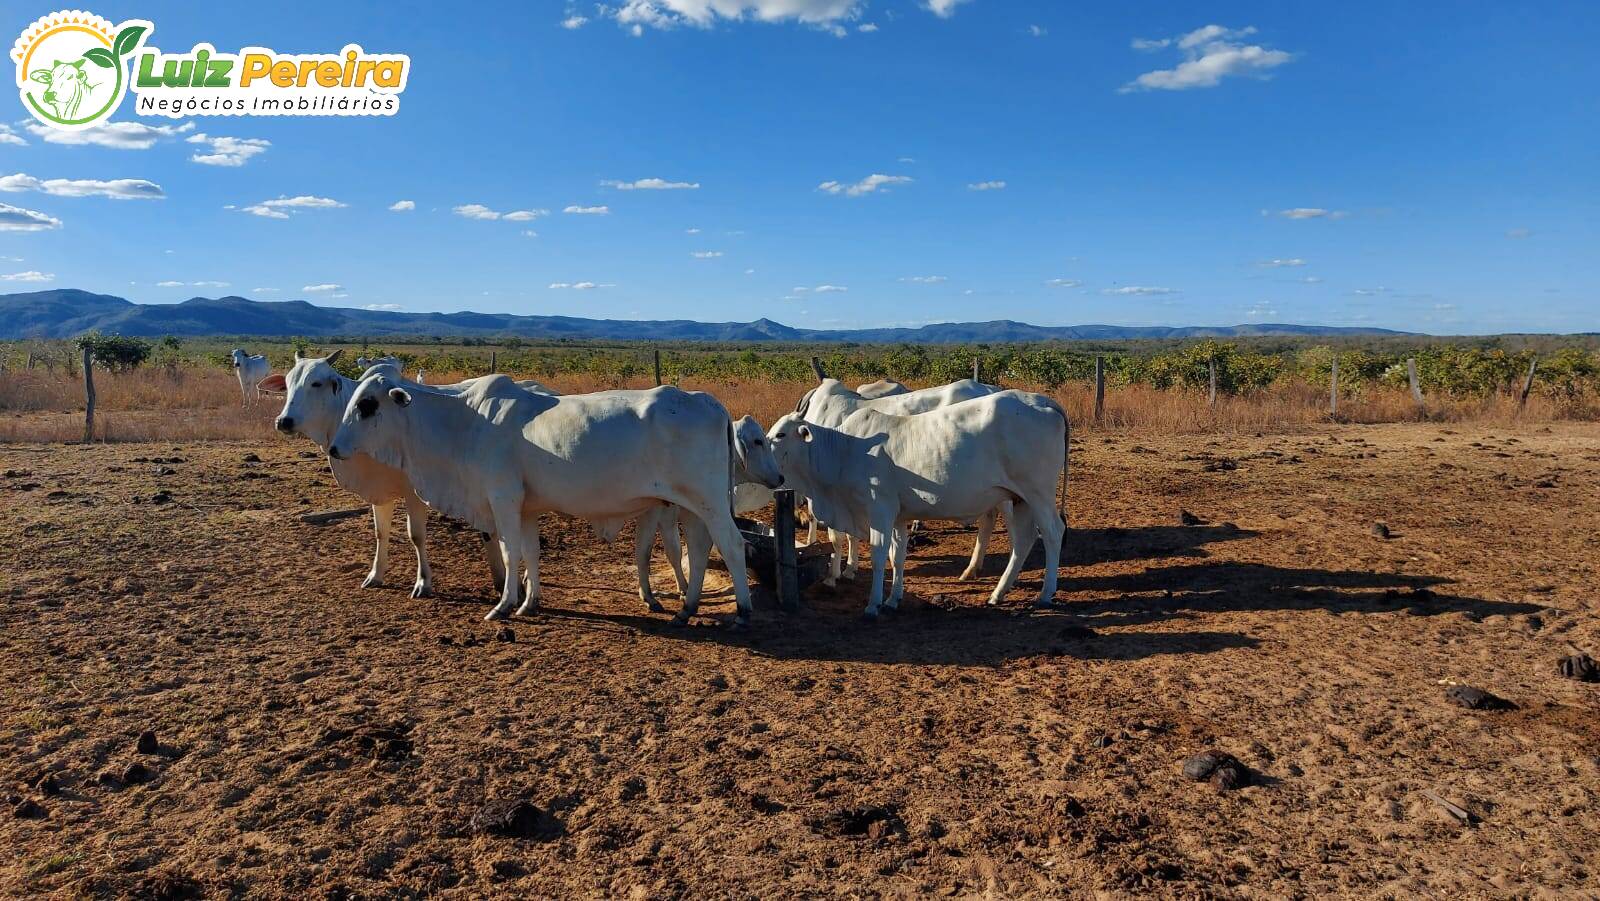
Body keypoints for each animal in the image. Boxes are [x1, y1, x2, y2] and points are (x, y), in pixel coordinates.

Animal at [328, 376, 777, 627]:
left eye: (367, 405)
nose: (333, 447)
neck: (466, 422)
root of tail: (708, 401)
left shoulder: (502, 499)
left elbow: (509, 554)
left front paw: (503, 605)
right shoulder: (526, 508)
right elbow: (530, 553)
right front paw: (529, 603)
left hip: (709, 502)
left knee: (732, 546)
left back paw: (742, 611)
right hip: (693, 507)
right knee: (699, 550)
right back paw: (687, 608)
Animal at [768, 387, 1068, 620]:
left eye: (781, 435)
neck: (845, 449)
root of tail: (1043, 400)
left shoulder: (880, 511)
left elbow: (878, 557)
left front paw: (873, 604)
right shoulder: (898, 517)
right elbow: (897, 557)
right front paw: (893, 599)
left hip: (1038, 494)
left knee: (1052, 533)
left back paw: (1045, 594)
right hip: (1018, 500)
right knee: (1023, 540)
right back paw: (998, 593)